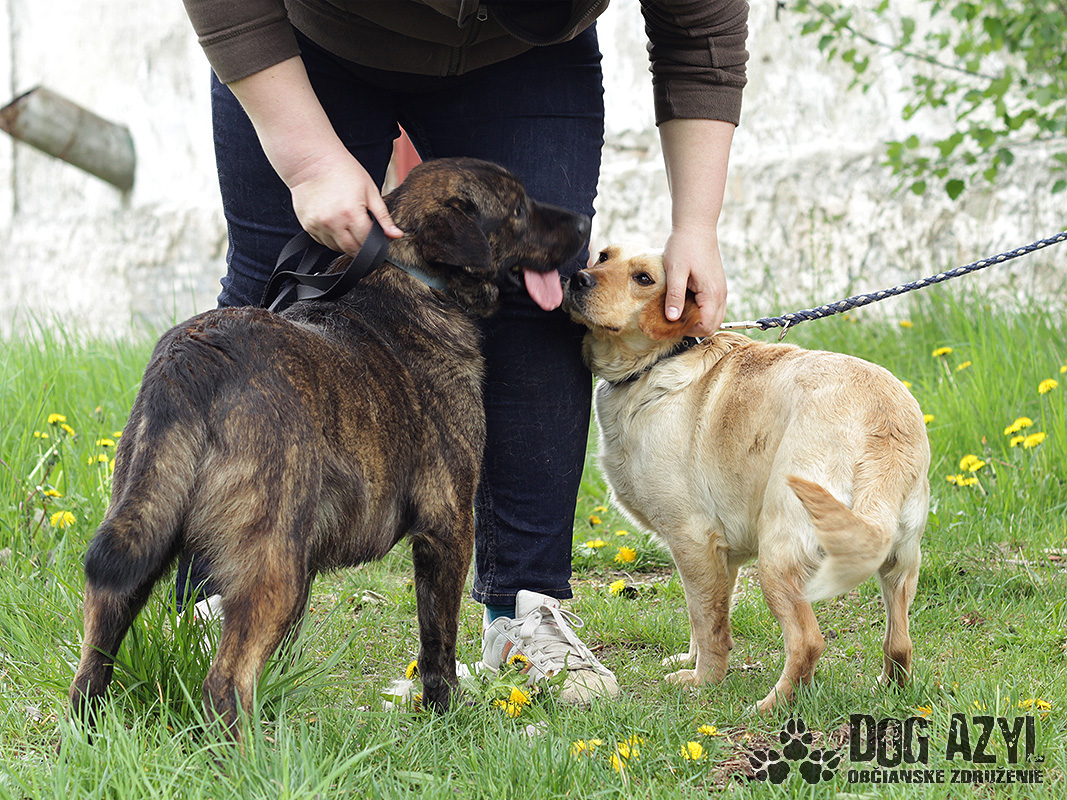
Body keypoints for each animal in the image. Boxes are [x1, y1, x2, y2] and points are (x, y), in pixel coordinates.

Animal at [69, 157, 590, 736]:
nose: (583, 224)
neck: (415, 278)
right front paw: (445, 712)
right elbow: (438, 642)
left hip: (140, 533)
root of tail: (198, 358)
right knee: (225, 683)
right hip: (273, 564)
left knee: (92, 664)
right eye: (518, 210)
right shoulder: (448, 525)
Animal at [563, 245, 930, 712]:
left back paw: (772, 705)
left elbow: (707, 622)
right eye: (603, 256)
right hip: (899, 561)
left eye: (643, 278)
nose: (577, 279)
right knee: (899, 643)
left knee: (808, 642)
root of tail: (883, 422)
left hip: (778, 555)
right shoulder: (721, 554)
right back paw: (888, 689)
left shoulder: (691, 538)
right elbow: (707, 616)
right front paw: (693, 661)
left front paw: (704, 681)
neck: (658, 362)